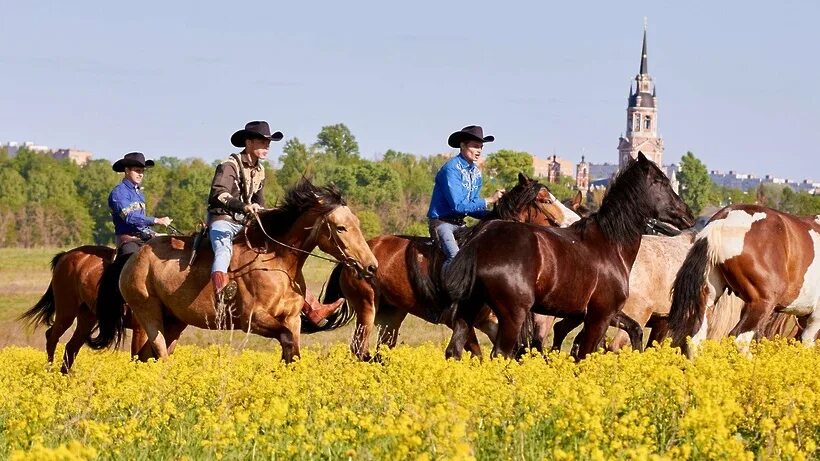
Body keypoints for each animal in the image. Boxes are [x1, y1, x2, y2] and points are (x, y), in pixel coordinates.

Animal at [18, 246, 147, 372]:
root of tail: (65, 255)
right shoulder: (140, 329)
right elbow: (139, 359)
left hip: (87, 318)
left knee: (71, 347)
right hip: (66, 313)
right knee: (52, 338)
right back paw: (50, 371)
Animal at [91, 180, 380, 362]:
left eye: (356, 223)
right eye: (341, 227)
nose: (370, 266)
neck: (276, 260)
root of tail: (132, 258)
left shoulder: (293, 319)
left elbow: (293, 352)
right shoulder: (254, 319)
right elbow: (287, 341)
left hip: (175, 320)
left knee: (146, 357)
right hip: (148, 314)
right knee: (158, 353)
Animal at [328, 172, 584, 360]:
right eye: (545, 199)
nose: (575, 222)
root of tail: (349, 259)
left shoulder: (489, 322)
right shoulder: (461, 321)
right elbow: (477, 354)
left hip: (392, 313)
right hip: (367, 308)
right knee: (359, 349)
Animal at [442, 153, 692, 362]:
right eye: (662, 182)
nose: (688, 214)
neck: (610, 243)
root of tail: (480, 239)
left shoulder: (607, 312)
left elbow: (635, 331)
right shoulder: (599, 316)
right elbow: (584, 354)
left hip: (469, 309)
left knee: (455, 351)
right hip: (513, 314)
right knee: (501, 354)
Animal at [668, 203, 820, 354]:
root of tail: (723, 220)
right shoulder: (815, 318)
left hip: (708, 298)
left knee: (696, 340)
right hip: (762, 302)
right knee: (739, 339)